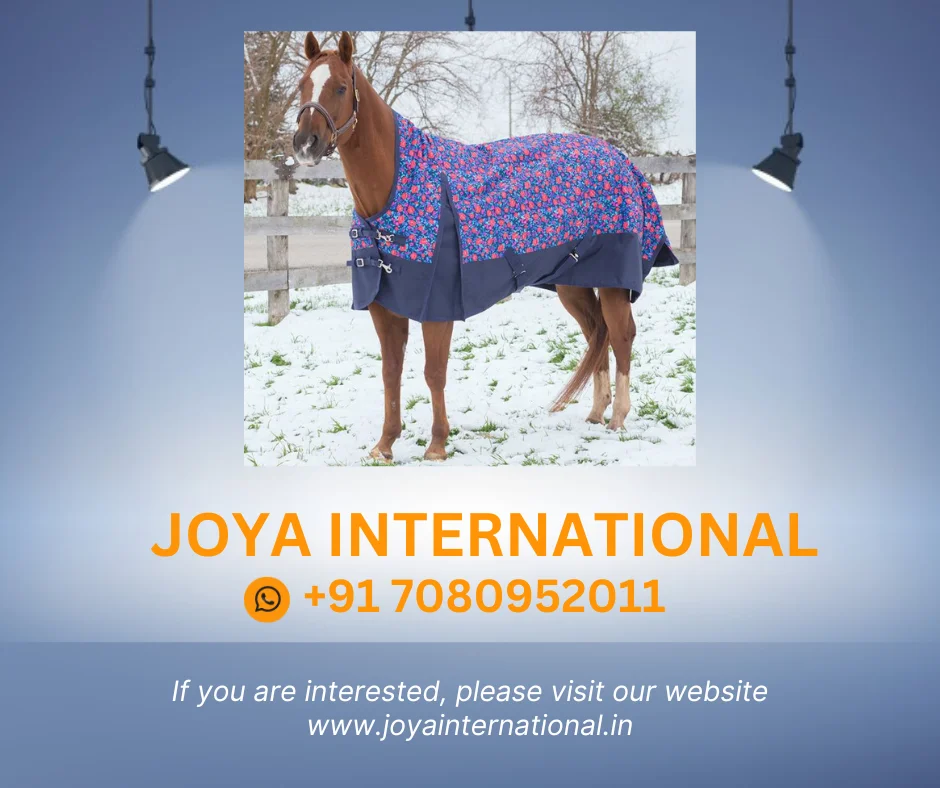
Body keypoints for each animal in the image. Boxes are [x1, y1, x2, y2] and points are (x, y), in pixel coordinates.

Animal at [292, 32, 678, 463]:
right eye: (302, 85)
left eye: (341, 87)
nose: (305, 144)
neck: (397, 189)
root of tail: (623, 160)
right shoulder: (383, 307)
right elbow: (391, 371)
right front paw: (385, 445)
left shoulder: (437, 307)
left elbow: (434, 372)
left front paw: (437, 445)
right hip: (573, 285)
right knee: (598, 333)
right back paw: (596, 412)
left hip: (613, 282)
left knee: (622, 335)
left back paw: (618, 419)